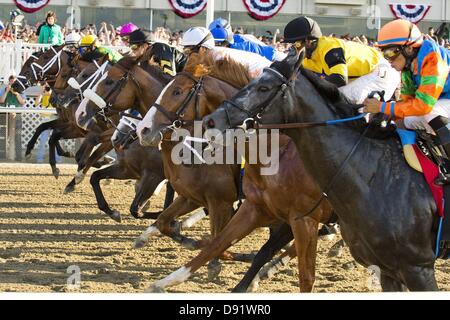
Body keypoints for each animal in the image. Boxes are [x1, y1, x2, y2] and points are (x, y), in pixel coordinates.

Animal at [205, 48, 442, 292]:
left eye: (264, 88)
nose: (210, 121)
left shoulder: (302, 217)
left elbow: (298, 269)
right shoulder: (261, 208)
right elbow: (241, 249)